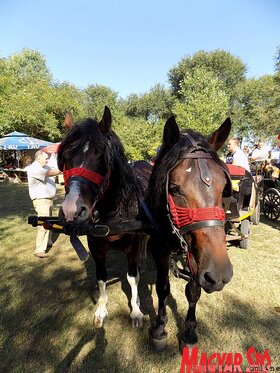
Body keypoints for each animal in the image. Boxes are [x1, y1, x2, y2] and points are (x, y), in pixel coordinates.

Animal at [56, 106, 151, 326]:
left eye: (100, 156)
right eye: (64, 156)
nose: (71, 210)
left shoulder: (132, 247)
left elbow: (132, 278)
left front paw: (136, 310)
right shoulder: (96, 247)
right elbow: (101, 277)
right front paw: (101, 309)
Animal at [145, 115, 233, 350]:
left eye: (224, 187)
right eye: (174, 189)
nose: (219, 274)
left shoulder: (197, 257)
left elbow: (194, 290)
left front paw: (190, 331)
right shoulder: (159, 249)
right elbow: (162, 287)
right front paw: (159, 327)